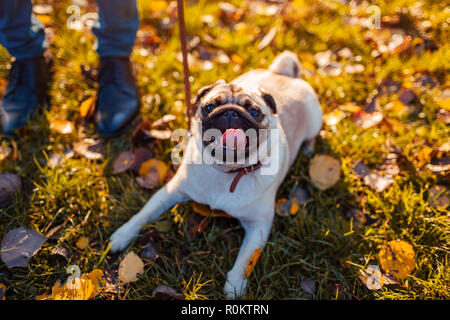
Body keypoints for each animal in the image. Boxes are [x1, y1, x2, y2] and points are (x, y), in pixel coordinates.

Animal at [109, 50, 322, 298]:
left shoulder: (258, 225)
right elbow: (143, 214)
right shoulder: (170, 192)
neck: (227, 170)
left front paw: (235, 286)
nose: (230, 113)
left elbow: (246, 258)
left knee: (312, 136)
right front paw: (123, 235)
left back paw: (308, 149)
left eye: (254, 111)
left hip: (315, 120)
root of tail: (283, 73)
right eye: (210, 107)